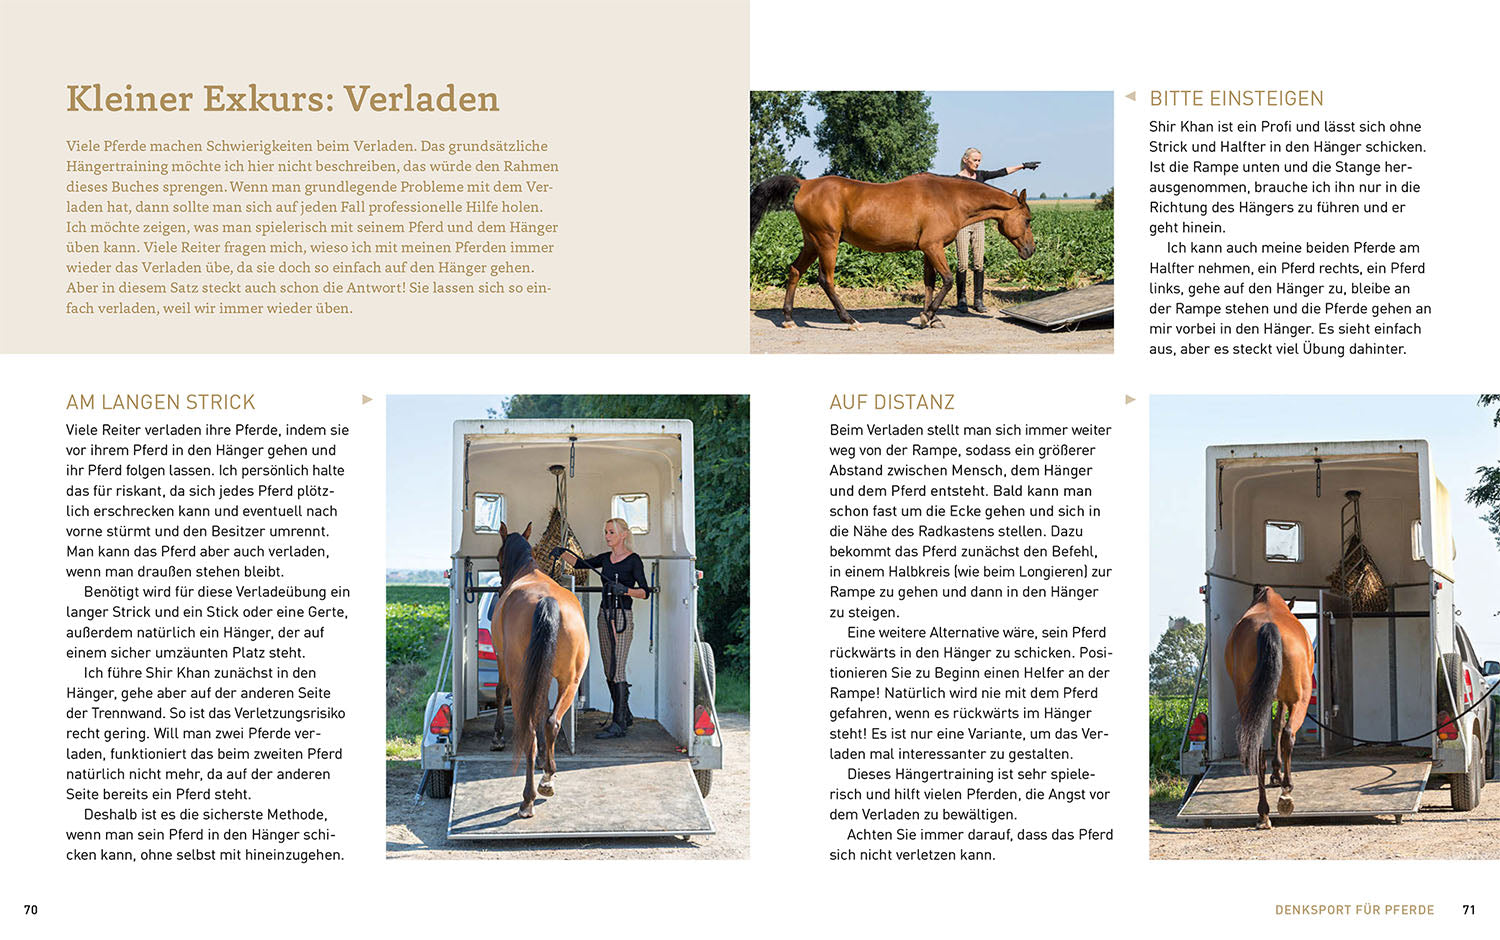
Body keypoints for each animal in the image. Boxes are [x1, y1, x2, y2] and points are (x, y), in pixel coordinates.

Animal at [486, 522, 589, 818]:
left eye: (498, 556)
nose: (500, 588)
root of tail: (547, 602)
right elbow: (543, 708)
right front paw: (546, 758)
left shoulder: (502, 660)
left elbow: (500, 691)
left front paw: (497, 736)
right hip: (570, 681)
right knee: (552, 722)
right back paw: (548, 778)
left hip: (522, 680)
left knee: (529, 732)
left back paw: (527, 799)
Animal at [749, 173, 1036, 330]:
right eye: (1028, 220)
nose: (1031, 250)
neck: (949, 198)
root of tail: (805, 183)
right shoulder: (933, 247)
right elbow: (948, 280)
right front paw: (927, 316)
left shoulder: (928, 250)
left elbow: (930, 283)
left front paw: (930, 318)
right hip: (827, 242)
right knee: (825, 280)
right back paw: (849, 321)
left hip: (811, 242)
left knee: (795, 270)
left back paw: (788, 318)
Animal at [1225, 585, 1315, 829]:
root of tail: (1269, 627)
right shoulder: (1283, 699)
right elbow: (1278, 726)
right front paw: (1278, 774)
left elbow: (1274, 727)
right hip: (1299, 700)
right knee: (1289, 734)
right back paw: (1286, 790)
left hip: (1248, 702)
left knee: (1256, 748)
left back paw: (1263, 812)